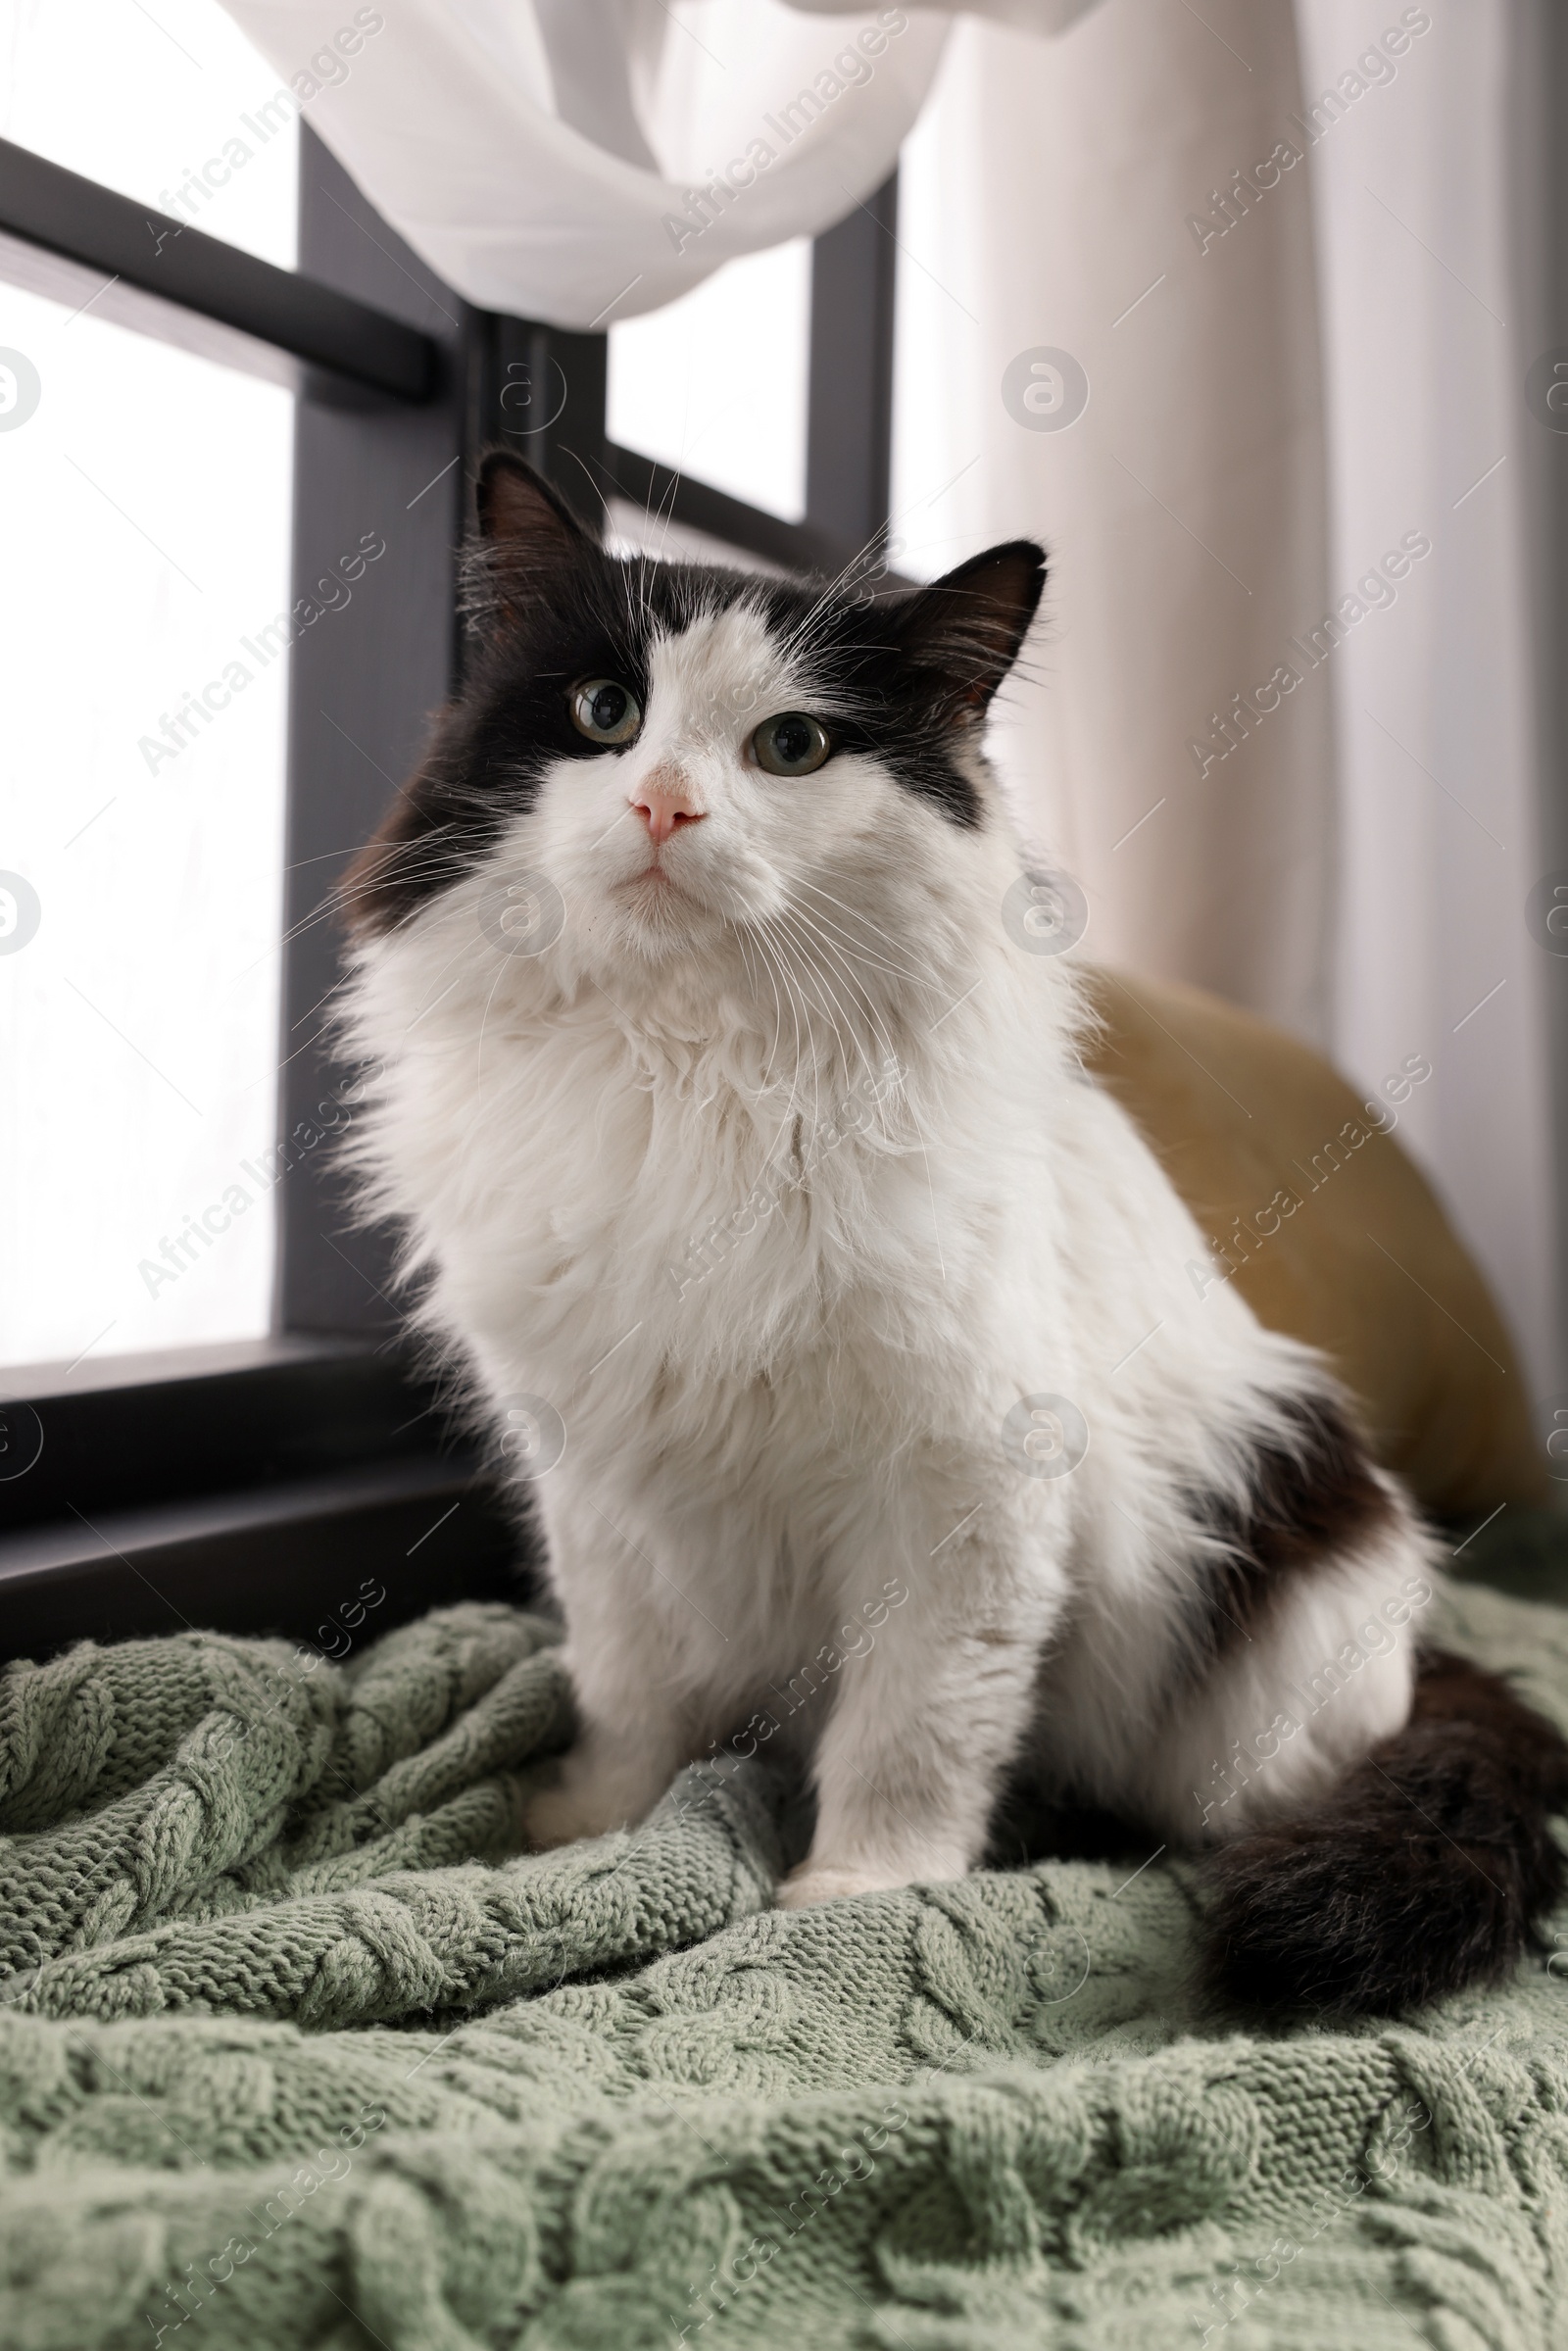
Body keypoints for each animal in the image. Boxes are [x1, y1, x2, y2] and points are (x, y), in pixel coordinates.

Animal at [343, 458, 1568, 2022]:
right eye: (605, 711)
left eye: (792, 746)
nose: (666, 805)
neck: (694, 1069)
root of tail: (1423, 1649)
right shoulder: (599, 1477)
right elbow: (628, 1688)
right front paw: (593, 1826)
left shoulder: (965, 1482)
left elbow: (913, 1720)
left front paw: (865, 1889)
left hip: (1270, 1597)